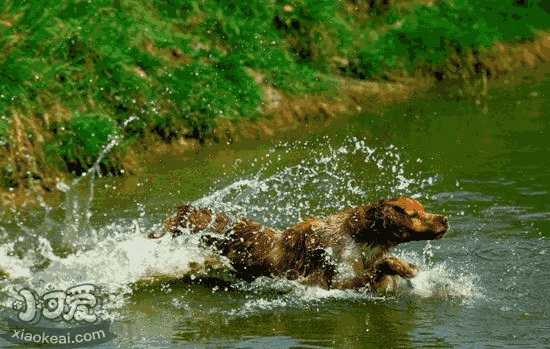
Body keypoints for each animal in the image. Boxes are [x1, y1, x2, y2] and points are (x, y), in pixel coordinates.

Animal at [150, 197, 448, 292]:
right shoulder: (330, 280)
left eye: (424, 208)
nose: (444, 219)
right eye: (414, 214)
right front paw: (404, 267)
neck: (360, 238)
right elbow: (374, 272)